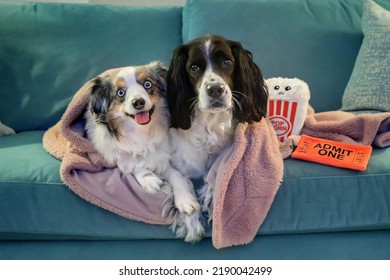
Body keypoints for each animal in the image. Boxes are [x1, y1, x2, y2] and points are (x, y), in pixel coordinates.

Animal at [84, 62, 203, 242]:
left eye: (147, 84)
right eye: (120, 93)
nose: (138, 102)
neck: (142, 132)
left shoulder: (164, 156)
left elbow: (176, 175)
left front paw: (186, 202)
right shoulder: (114, 154)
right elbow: (132, 165)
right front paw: (149, 179)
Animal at [168, 35, 268, 234]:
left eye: (227, 62)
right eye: (194, 67)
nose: (215, 89)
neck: (209, 125)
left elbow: (220, 166)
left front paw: (212, 196)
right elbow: (175, 174)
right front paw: (190, 216)